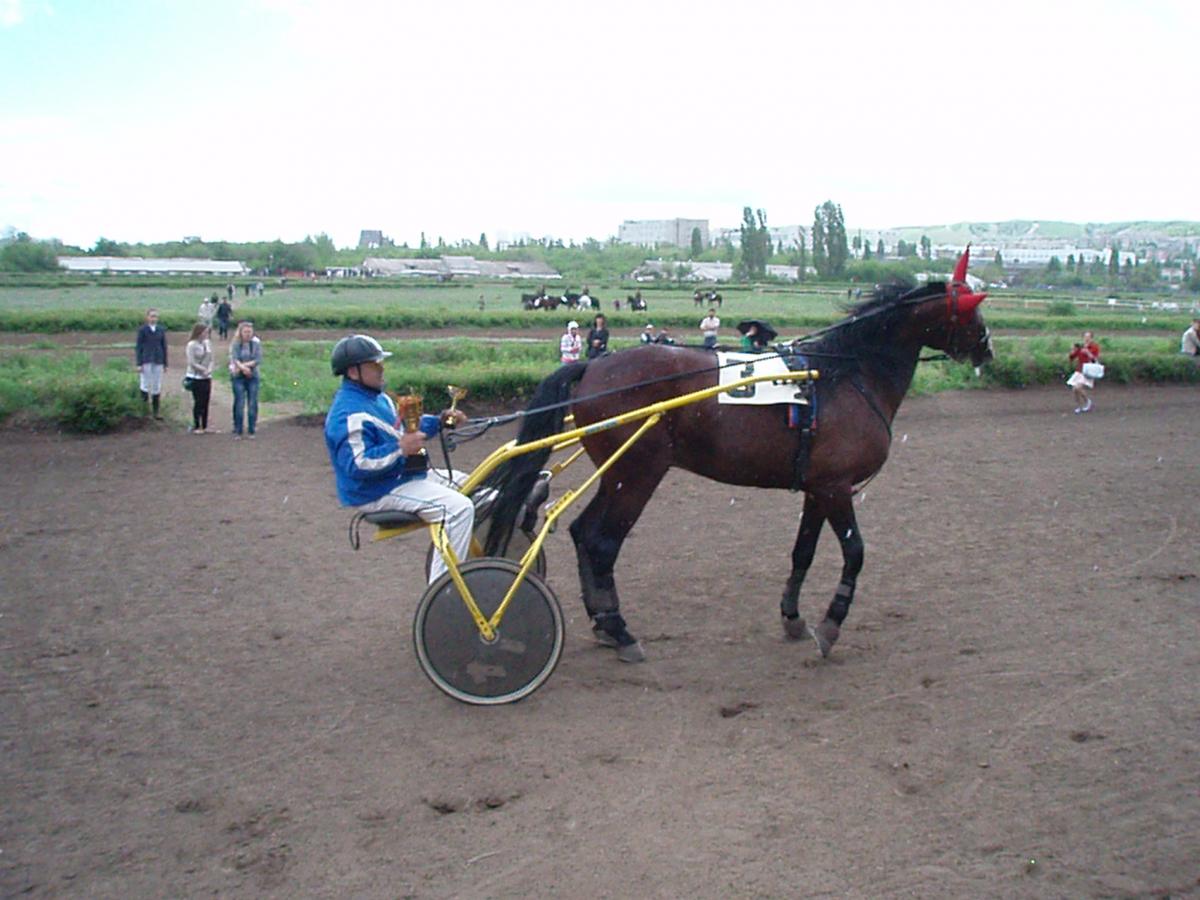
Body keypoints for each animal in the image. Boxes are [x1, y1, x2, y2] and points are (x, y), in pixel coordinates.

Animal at [482, 250, 988, 667]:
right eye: (974, 311)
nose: (987, 348)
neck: (844, 375)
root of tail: (593, 366)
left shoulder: (817, 487)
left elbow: (803, 552)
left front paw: (793, 618)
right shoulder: (837, 488)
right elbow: (855, 553)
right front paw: (830, 626)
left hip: (618, 473)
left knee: (582, 533)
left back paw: (603, 624)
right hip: (639, 472)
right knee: (602, 543)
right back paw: (621, 632)